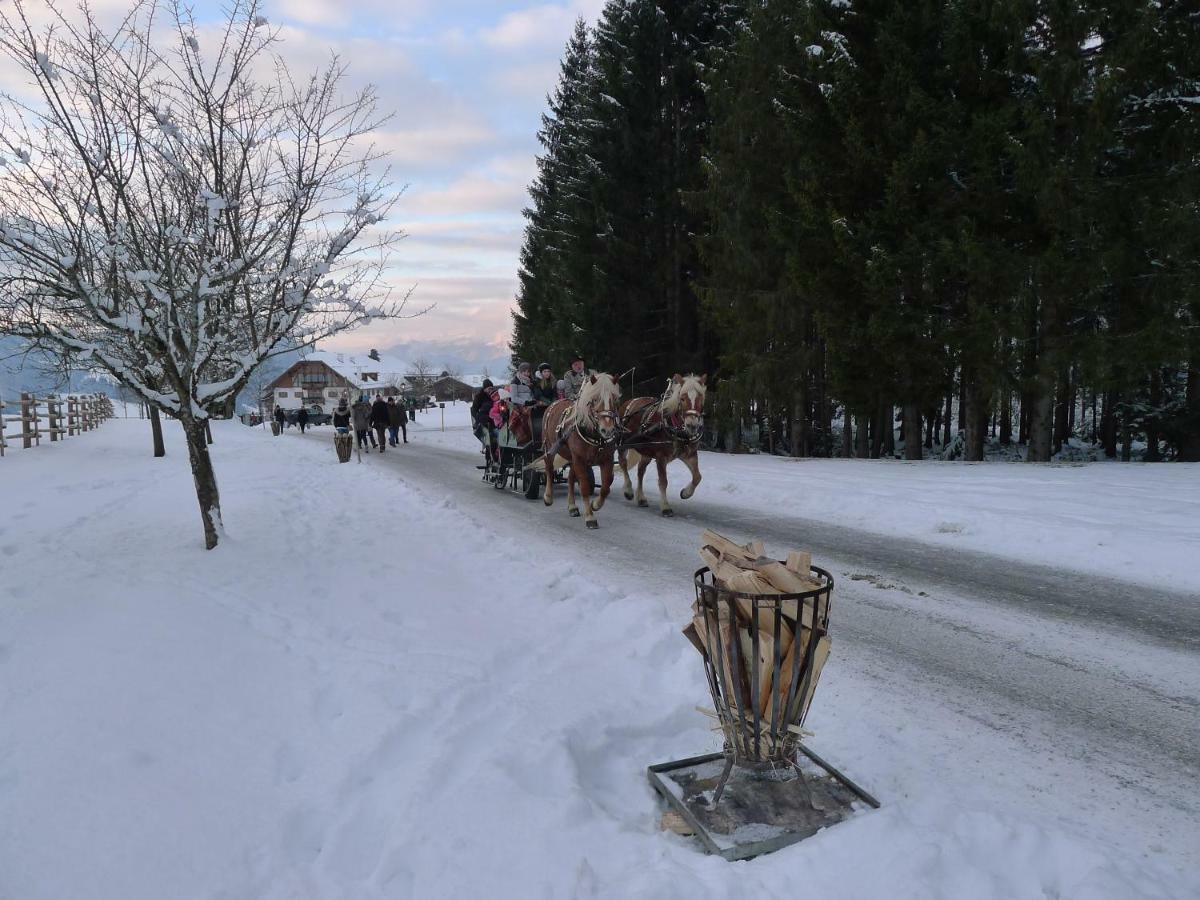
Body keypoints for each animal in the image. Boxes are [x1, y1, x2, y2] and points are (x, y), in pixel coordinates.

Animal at [542, 374, 624, 528]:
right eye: (594, 399)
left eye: (614, 399)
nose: (607, 430)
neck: (596, 436)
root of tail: (554, 403)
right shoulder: (579, 459)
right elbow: (584, 486)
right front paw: (590, 517)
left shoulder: (606, 458)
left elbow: (606, 485)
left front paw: (595, 505)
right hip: (549, 446)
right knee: (549, 468)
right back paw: (548, 496)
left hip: (572, 457)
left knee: (570, 478)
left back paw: (572, 507)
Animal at [619, 372, 700, 513]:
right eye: (682, 399)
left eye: (701, 397)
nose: (692, 426)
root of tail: (627, 402)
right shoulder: (661, 457)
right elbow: (663, 481)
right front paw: (666, 507)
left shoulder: (689, 454)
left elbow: (697, 477)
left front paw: (686, 493)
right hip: (622, 443)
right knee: (623, 463)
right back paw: (628, 490)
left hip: (646, 451)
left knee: (640, 471)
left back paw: (641, 498)